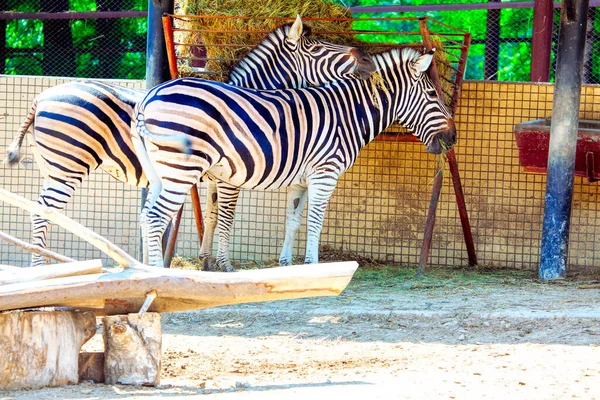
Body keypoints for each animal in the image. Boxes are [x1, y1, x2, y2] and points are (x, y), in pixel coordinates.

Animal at [2, 16, 372, 266]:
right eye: (319, 48)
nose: (361, 54)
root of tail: (41, 97)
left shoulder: (213, 176)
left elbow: (210, 214)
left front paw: (206, 261)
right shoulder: (228, 176)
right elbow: (225, 217)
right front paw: (223, 264)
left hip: (54, 169)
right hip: (69, 167)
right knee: (41, 214)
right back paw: (39, 267)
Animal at [134, 46, 458, 268]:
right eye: (433, 95)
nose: (453, 138)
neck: (347, 115)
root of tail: (149, 96)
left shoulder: (300, 180)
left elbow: (293, 221)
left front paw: (287, 264)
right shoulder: (325, 173)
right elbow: (315, 221)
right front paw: (312, 264)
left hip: (160, 174)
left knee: (145, 216)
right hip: (182, 170)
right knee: (155, 218)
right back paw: (158, 273)